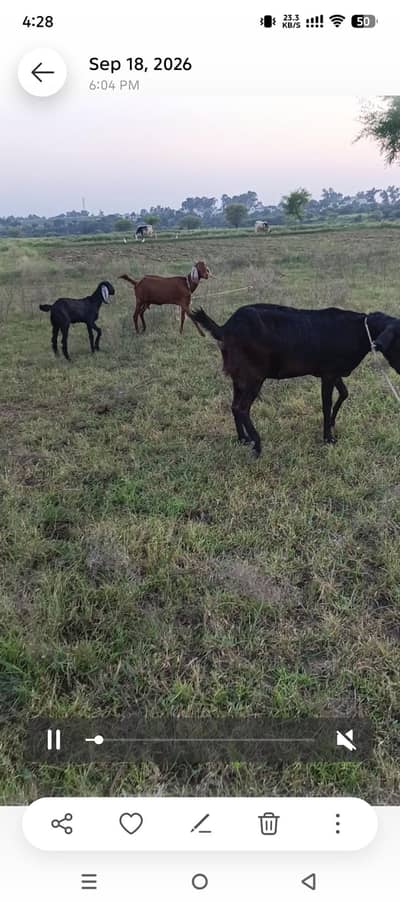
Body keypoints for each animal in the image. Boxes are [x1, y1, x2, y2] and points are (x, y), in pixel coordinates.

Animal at [189, 303, 400, 456]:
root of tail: (225, 328)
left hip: (239, 375)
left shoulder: (334, 372)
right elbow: (326, 405)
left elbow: (344, 394)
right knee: (242, 408)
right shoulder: (328, 374)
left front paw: (332, 423)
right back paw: (257, 445)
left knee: (234, 406)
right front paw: (328, 438)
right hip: (254, 376)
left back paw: (243, 439)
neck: (358, 331)